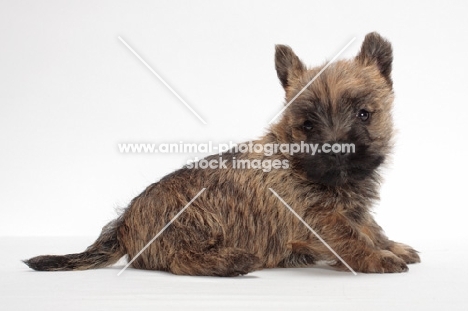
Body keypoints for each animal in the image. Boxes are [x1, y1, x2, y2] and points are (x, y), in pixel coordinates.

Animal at [24, 33, 420, 276]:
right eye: (307, 124)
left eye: (364, 114)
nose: (336, 150)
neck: (294, 159)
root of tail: (124, 223)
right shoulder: (318, 217)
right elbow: (351, 238)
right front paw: (376, 258)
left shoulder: (353, 209)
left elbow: (370, 227)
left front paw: (392, 247)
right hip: (191, 216)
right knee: (181, 259)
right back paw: (233, 261)